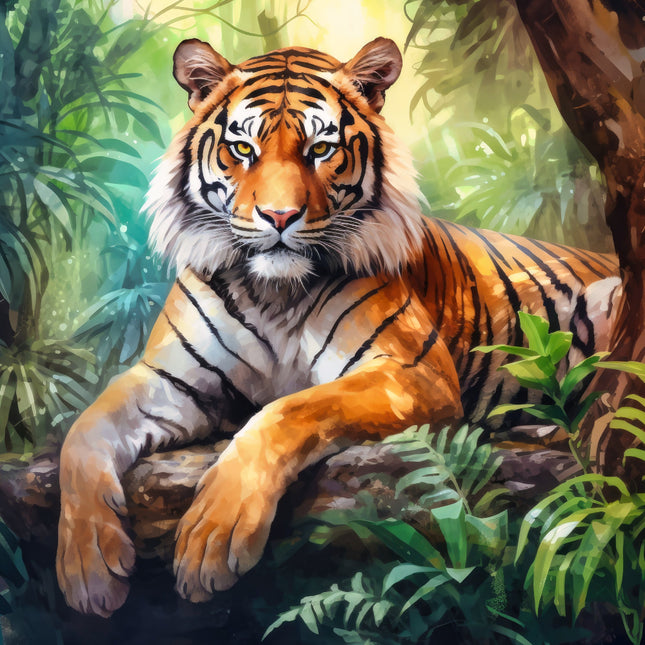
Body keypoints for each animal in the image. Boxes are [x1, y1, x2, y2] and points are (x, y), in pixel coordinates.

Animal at [56, 37, 621, 617]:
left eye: (321, 149)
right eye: (243, 149)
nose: (279, 217)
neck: (274, 293)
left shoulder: (411, 372)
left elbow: (290, 409)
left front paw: (212, 535)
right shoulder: (169, 381)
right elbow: (81, 435)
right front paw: (87, 567)